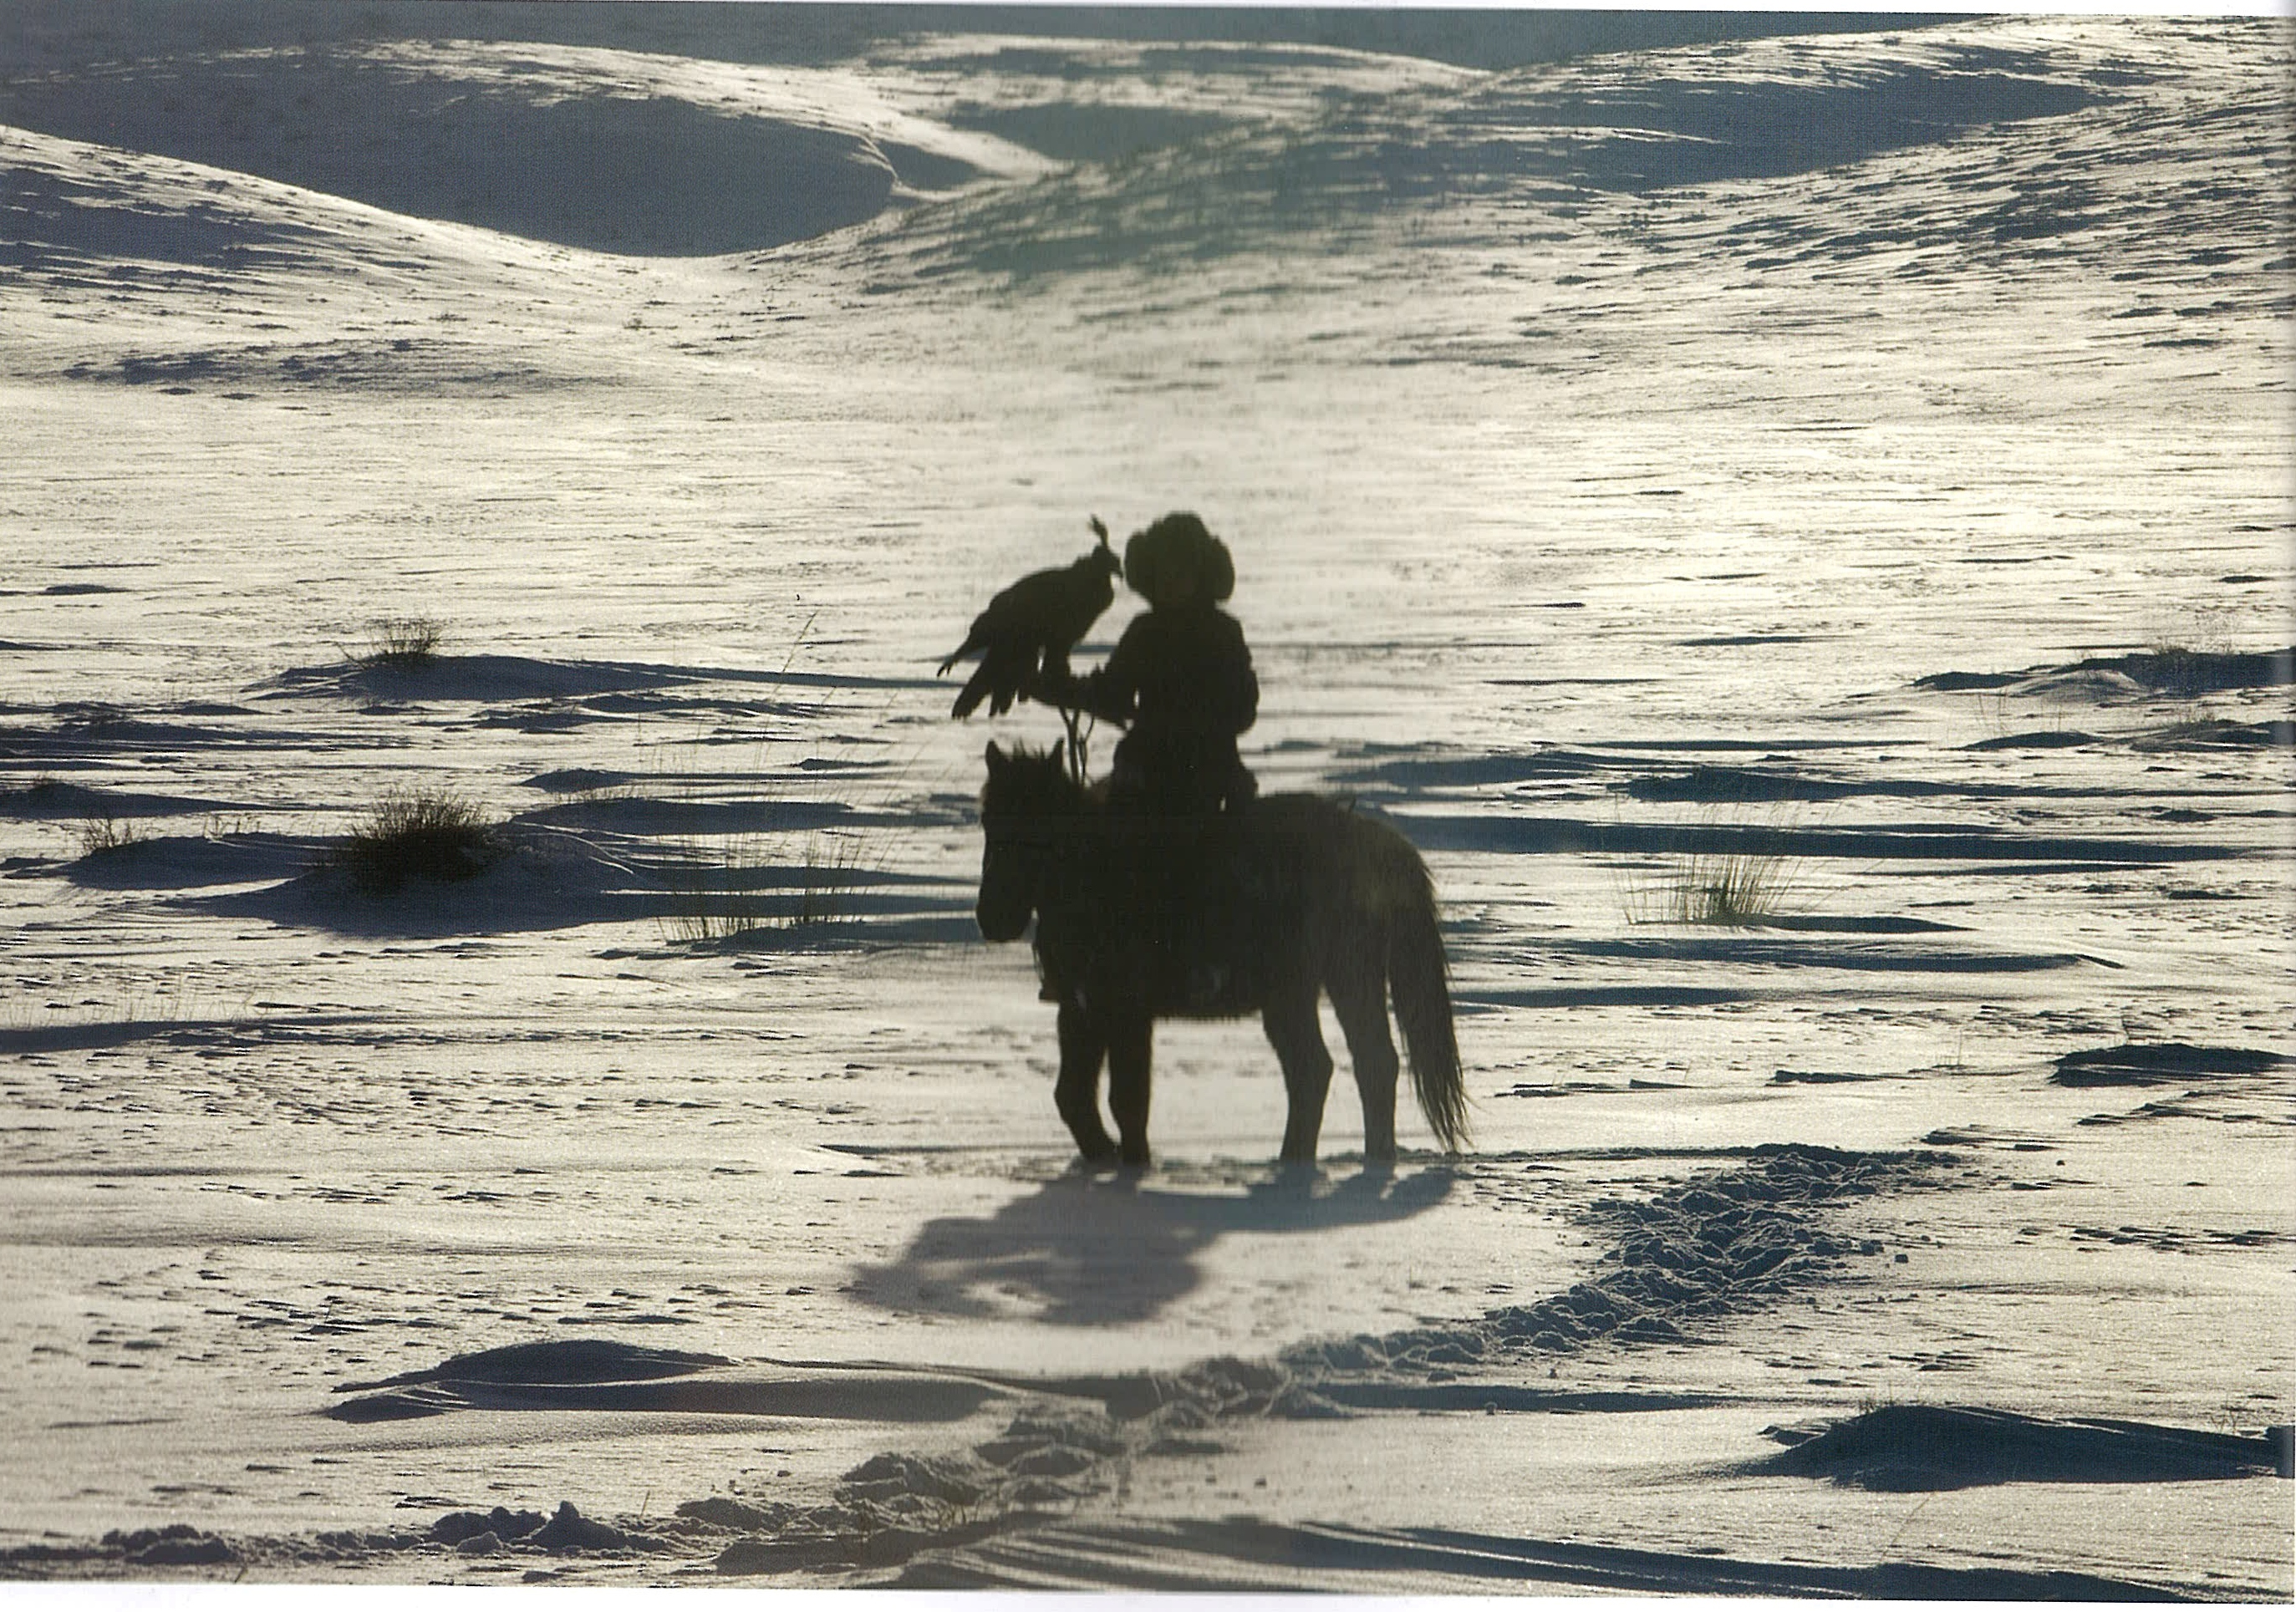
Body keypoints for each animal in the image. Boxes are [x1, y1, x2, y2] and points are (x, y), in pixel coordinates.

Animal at [973, 744, 1469, 1175]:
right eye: (987, 823)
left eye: (1041, 830)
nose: (993, 917)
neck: (1099, 873)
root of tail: (1376, 844)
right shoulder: (1082, 1011)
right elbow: (1074, 1097)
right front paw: (1106, 1158)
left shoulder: (1128, 1012)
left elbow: (1127, 1101)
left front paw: (1134, 1167)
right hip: (1315, 988)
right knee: (1339, 1067)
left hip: (1332, 982)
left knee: (1348, 1066)